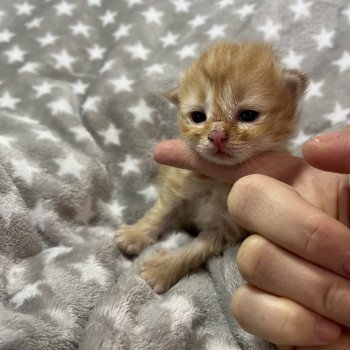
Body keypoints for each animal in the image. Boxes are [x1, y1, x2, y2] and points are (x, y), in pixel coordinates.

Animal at [116, 40, 308, 292]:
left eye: (248, 115)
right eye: (198, 117)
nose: (216, 135)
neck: (217, 180)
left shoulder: (224, 228)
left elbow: (194, 251)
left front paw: (160, 270)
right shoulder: (178, 189)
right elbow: (160, 213)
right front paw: (134, 235)